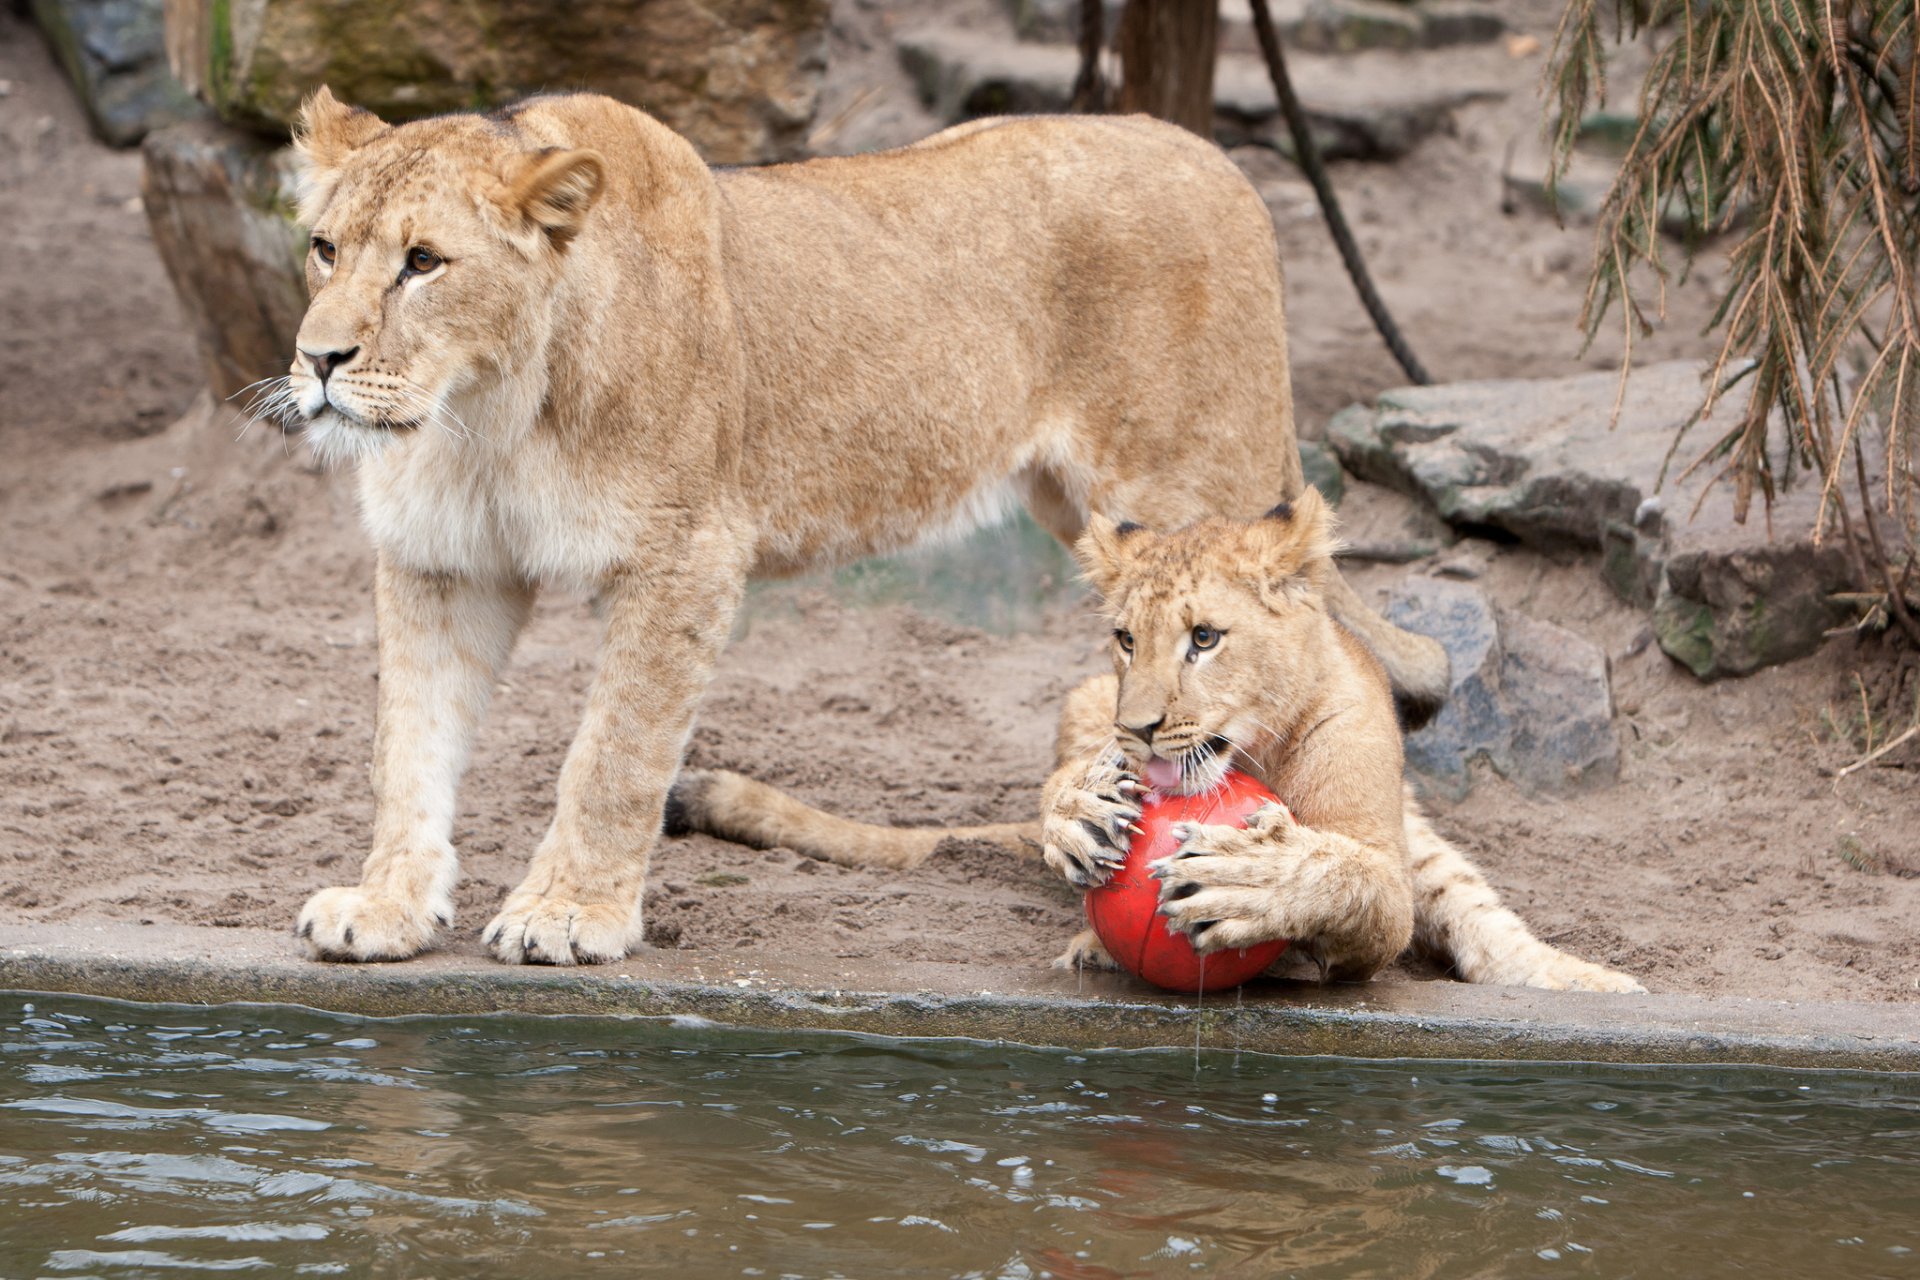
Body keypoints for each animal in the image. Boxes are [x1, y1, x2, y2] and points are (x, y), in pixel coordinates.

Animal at [282, 87, 1450, 965]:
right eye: (324, 249)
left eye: (424, 262)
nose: (319, 359)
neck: (481, 413)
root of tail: (1220, 162)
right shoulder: (441, 559)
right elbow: (408, 744)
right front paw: (387, 907)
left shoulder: (686, 553)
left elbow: (612, 753)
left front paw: (570, 914)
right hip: (1084, 508)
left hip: (1200, 489)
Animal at [672, 492, 1645, 992]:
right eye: (1126, 638)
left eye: (1205, 639)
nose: (1138, 728)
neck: (1255, 752)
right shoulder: (1094, 695)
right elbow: (1061, 788)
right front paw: (1079, 813)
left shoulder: (1381, 861)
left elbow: (1349, 875)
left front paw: (1255, 882)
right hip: (1081, 700)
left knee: (1479, 916)